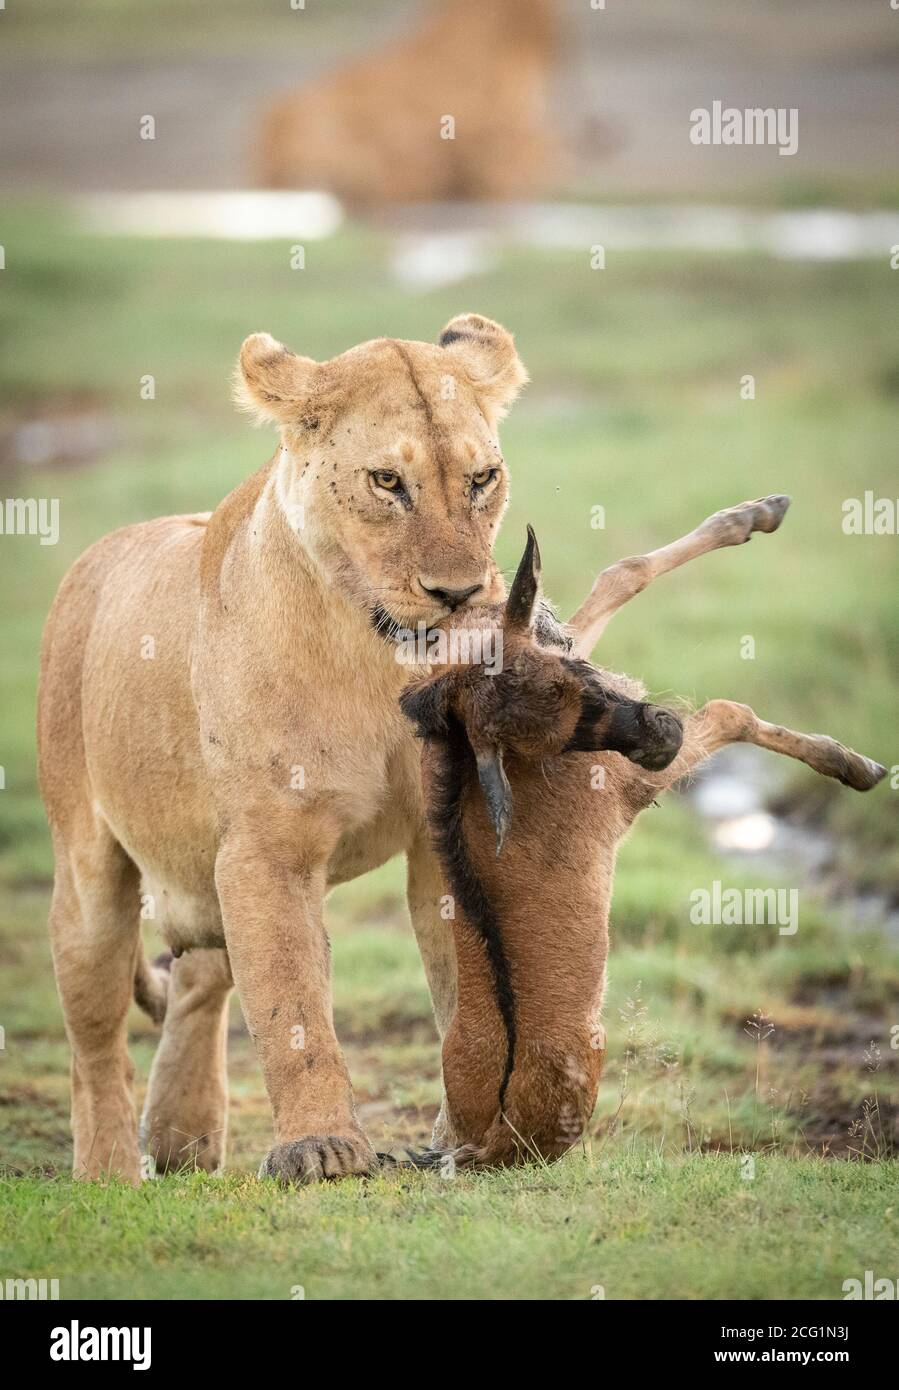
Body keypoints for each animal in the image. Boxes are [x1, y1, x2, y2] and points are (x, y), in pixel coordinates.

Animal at [400, 496, 886, 1165]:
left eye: (574, 675)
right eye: (550, 740)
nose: (661, 735)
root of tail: (483, 1144)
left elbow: (620, 574)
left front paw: (758, 514)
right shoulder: (635, 791)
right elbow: (730, 712)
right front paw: (855, 766)